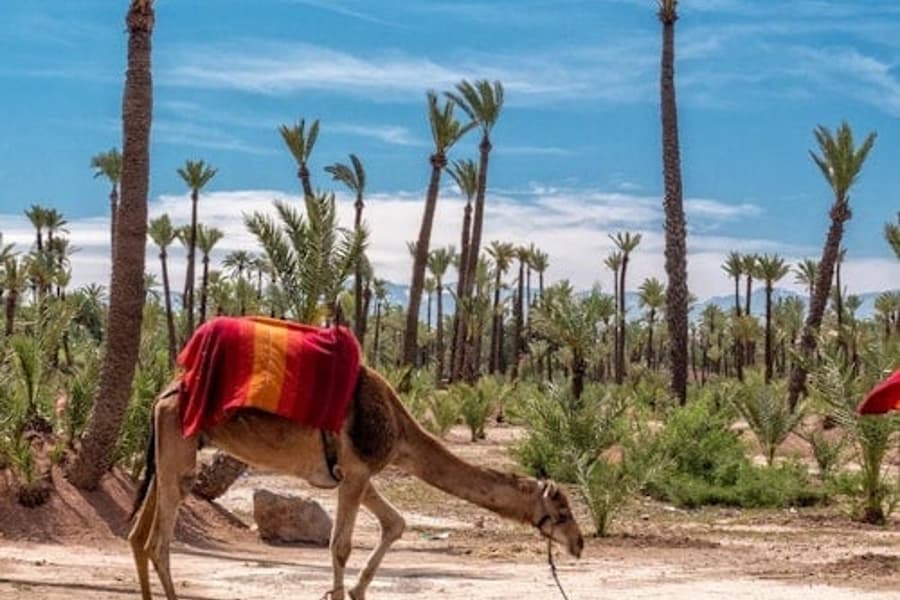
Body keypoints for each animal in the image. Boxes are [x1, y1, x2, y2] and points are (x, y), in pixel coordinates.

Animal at [129, 365, 584, 600]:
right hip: (178, 447)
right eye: (562, 511)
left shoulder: (358, 474)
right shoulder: (358, 471)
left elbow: (395, 523)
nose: (579, 543)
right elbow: (341, 546)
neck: (400, 430)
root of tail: (163, 393)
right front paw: (339, 591)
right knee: (158, 542)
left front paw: (355, 590)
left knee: (138, 535)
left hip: (169, 452)